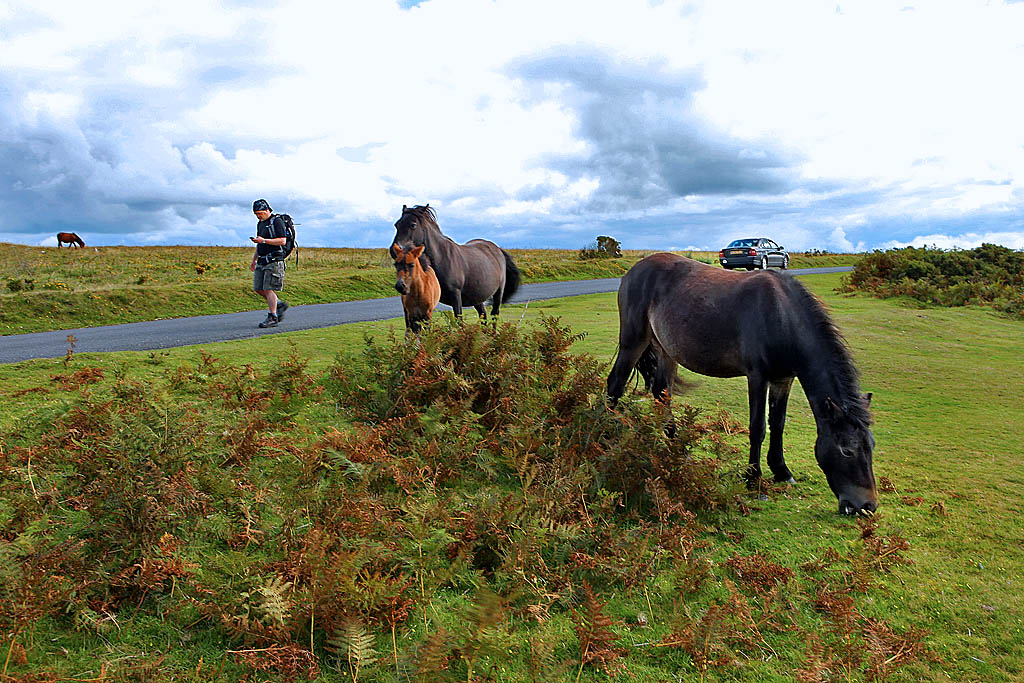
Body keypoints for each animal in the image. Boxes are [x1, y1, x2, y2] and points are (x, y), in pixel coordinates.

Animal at [389, 204, 520, 319]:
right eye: (396, 225)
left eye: (413, 225)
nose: (394, 250)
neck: (441, 258)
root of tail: (497, 249)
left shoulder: (456, 296)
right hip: (477, 297)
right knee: (483, 315)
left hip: (498, 292)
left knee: (494, 314)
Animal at [606, 253, 880, 516]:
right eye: (846, 450)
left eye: (871, 447)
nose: (867, 506)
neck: (782, 316)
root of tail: (634, 270)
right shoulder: (757, 376)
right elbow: (758, 428)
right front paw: (754, 480)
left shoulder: (783, 379)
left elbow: (777, 424)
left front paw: (781, 471)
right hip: (634, 341)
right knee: (615, 384)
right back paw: (607, 437)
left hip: (666, 351)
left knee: (662, 394)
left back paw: (679, 450)